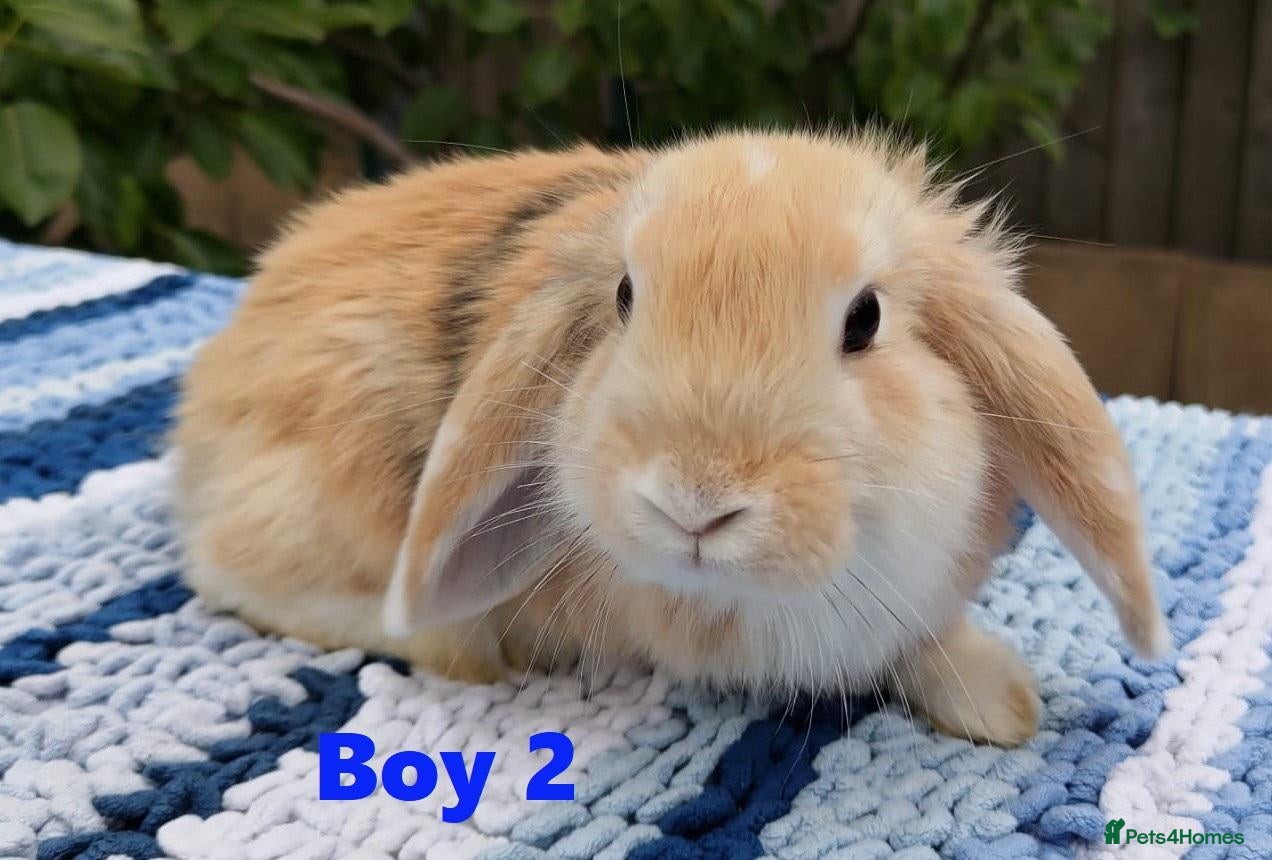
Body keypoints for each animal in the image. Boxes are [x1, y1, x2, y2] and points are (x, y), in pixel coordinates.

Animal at [174, 130, 1169, 747]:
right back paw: (473, 648)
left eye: (866, 319)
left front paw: (1001, 705)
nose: (695, 502)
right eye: (623, 297)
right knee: (231, 576)